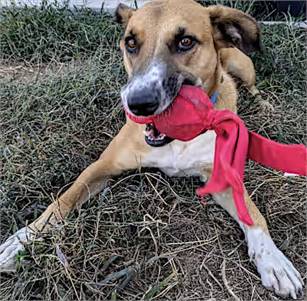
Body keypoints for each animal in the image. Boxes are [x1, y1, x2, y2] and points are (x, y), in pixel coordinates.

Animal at [0, 0, 304, 298]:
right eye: (131, 43)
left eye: (185, 41)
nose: (138, 103)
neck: (176, 140)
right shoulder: (101, 166)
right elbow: (62, 201)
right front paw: (22, 240)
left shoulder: (222, 176)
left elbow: (252, 214)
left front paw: (274, 261)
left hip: (244, 67)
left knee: (252, 88)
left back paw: (265, 106)